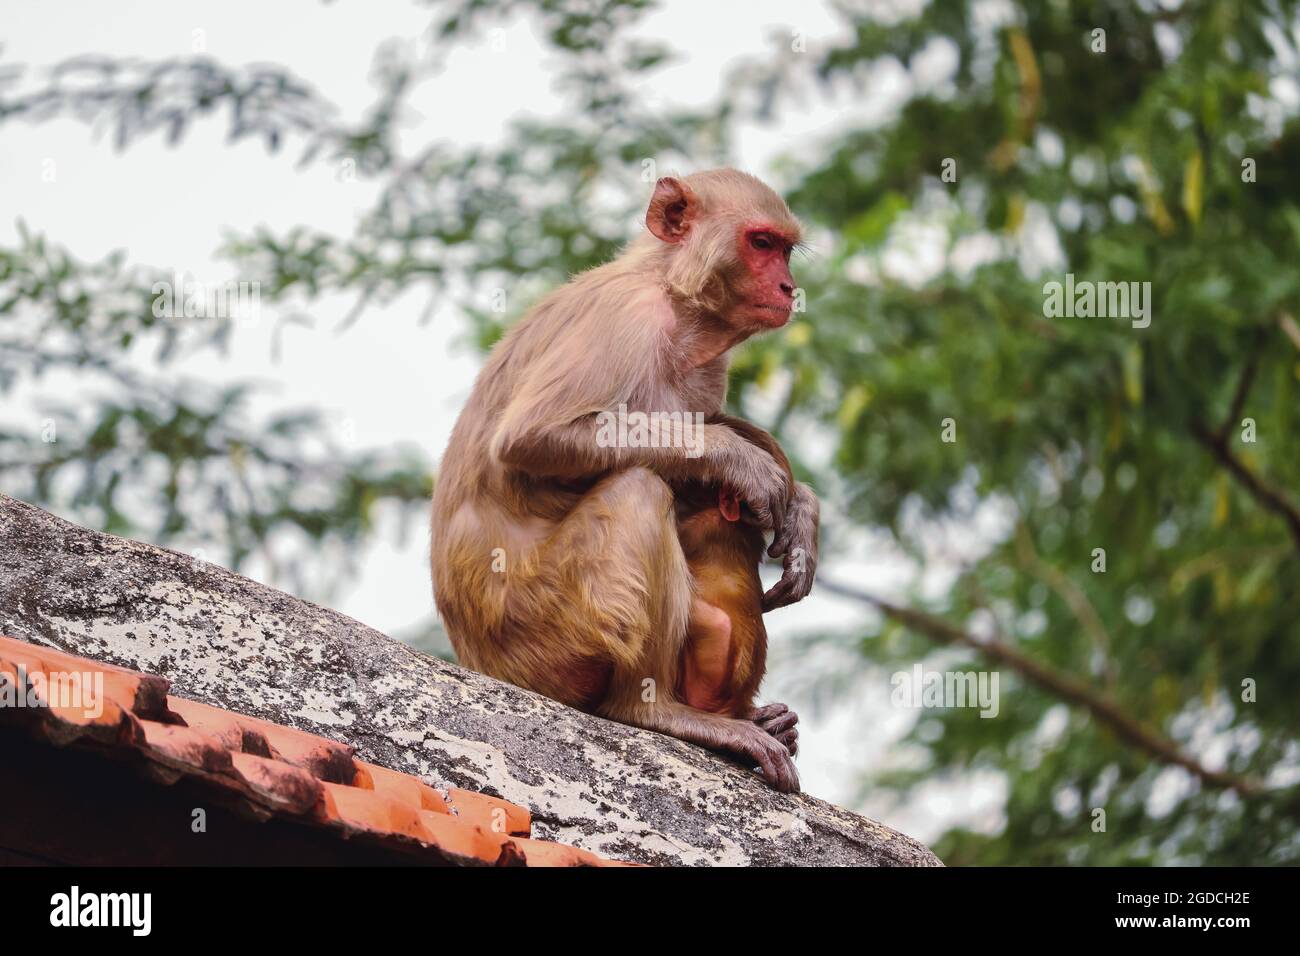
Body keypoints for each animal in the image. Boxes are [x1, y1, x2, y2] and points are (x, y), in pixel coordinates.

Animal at [436, 166, 821, 790]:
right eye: (761, 244)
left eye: (785, 250)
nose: (788, 287)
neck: (672, 294)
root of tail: (478, 660)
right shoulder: (626, 321)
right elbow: (532, 438)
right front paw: (742, 461)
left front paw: (803, 512)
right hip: (545, 636)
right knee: (637, 489)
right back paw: (653, 710)